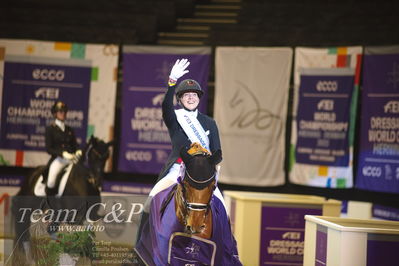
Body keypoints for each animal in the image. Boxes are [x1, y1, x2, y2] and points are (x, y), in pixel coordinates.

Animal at [9, 136, 112, 264]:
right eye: (93, 154)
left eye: (107, 156)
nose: (97, 181)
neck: (83, 183)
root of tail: (31, 175)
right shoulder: (73, 217)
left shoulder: (89, 216)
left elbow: (89, 233)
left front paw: (92, 254)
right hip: (26, 212)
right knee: (25, 237)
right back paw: (31, 260)